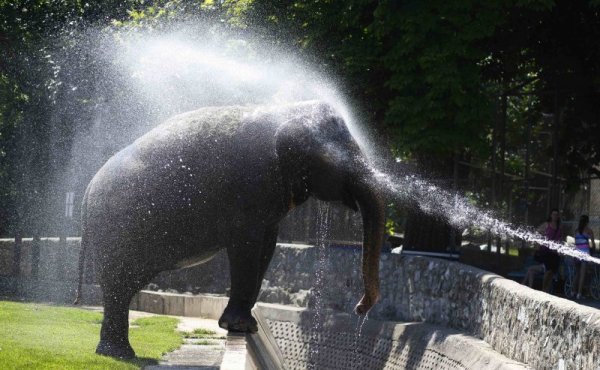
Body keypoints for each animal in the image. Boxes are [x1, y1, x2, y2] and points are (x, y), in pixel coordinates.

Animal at [75, 99, 384, 356]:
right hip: (116, 229)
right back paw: (118, 355)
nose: (359, 308)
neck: (287, 109)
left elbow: (267, 247)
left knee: (125, 285)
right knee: (118, 284)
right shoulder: (249, 191)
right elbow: (245, 248)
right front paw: (241, 327)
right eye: (339, 161)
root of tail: (87, 192)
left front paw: (243, 325)